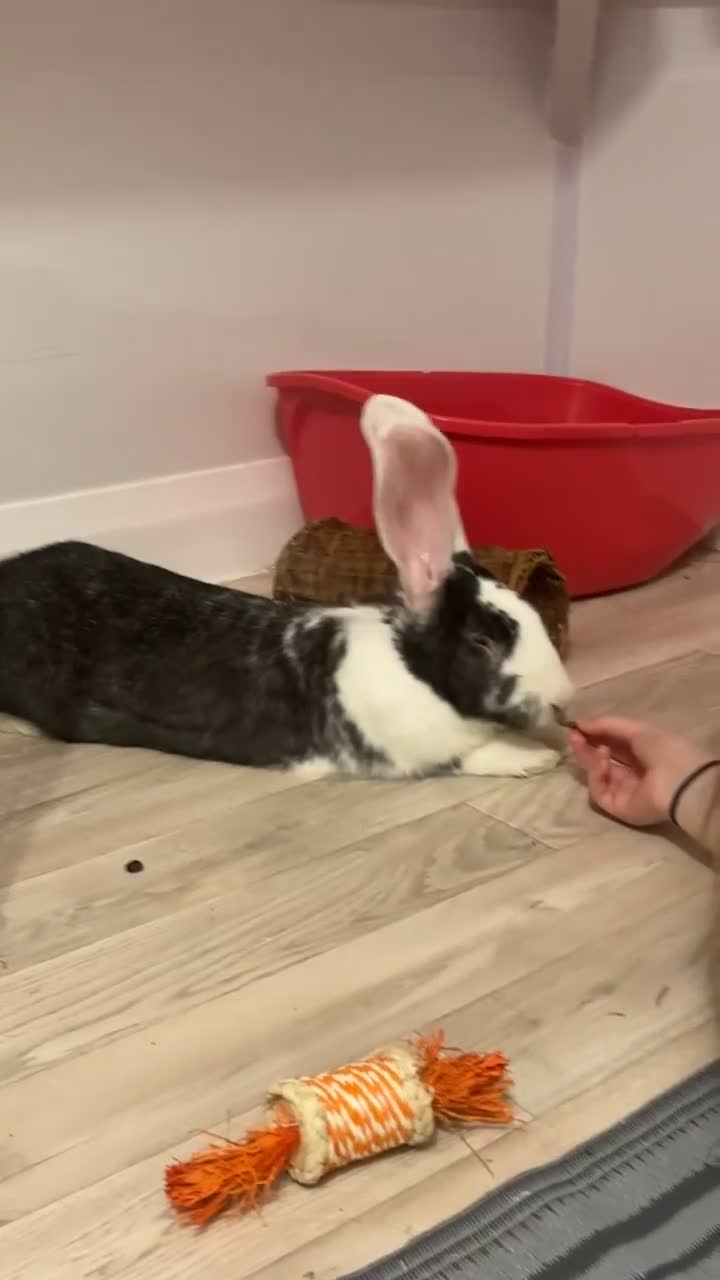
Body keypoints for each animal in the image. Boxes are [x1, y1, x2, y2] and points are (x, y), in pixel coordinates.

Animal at [0, 393, 573, 780]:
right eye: (482, 641)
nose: (565, 699)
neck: (415, 671)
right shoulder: (408, 748)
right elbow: (475, 755)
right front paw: (539, 756)